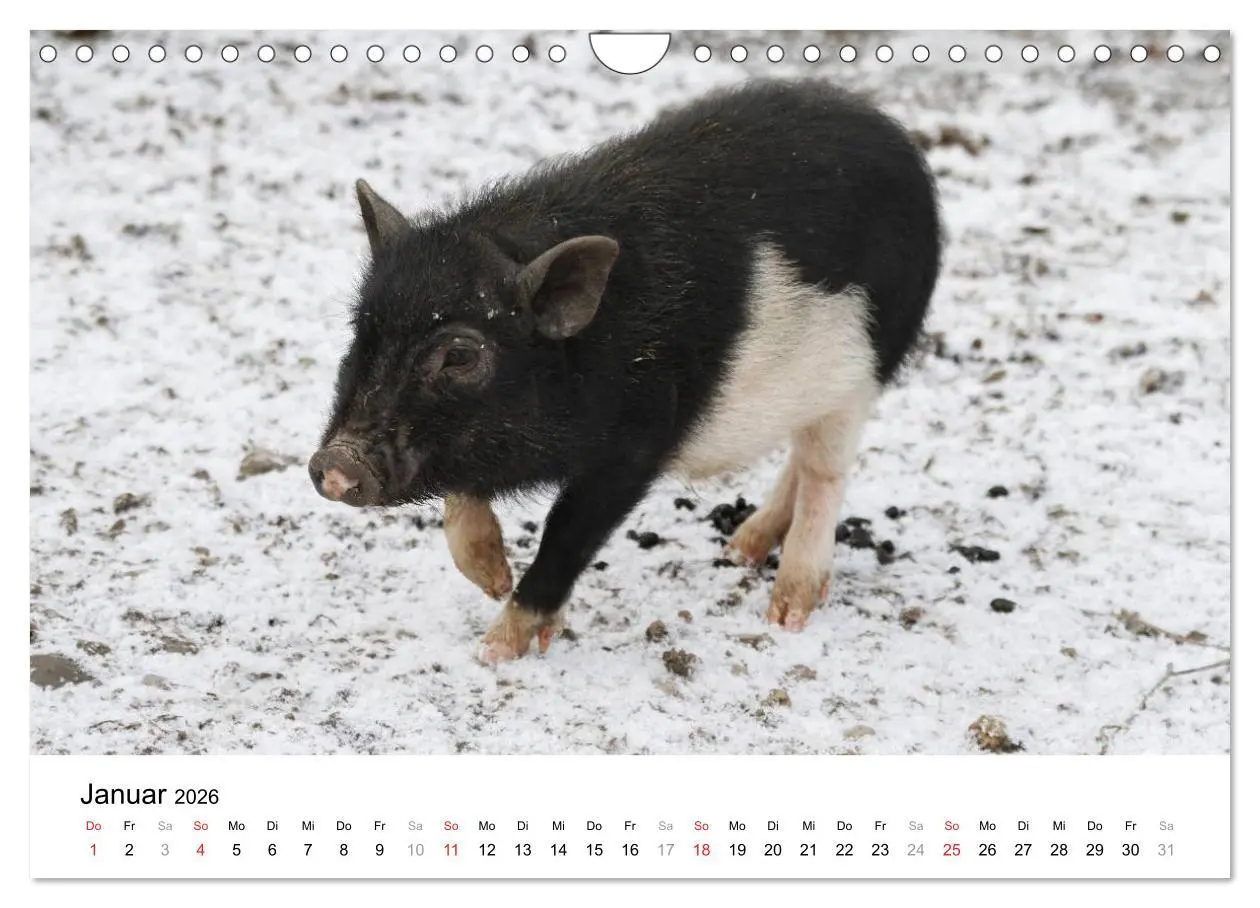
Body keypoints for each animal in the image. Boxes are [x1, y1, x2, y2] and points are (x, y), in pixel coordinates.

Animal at [308, 78, 941, 663]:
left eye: (461, 354)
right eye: (362, 330)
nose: (335, 463)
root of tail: (898, 141)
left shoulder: (638, 442)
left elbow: (568, 532)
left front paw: (494, 650)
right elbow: (463, 502)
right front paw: (492, 579)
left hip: (864, 369)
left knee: (823, 472)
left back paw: (785, 612)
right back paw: (740, 550)